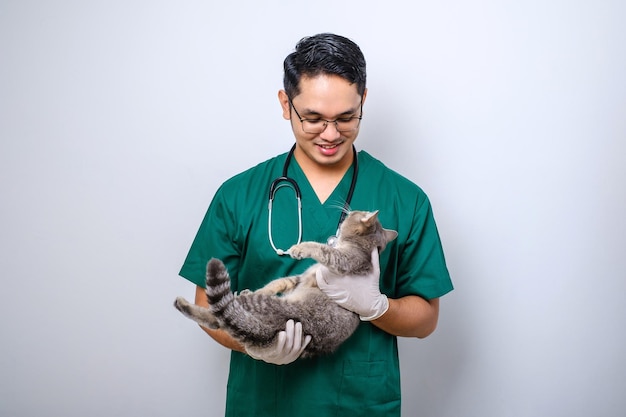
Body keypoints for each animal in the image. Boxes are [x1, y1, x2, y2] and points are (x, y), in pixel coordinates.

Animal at [172, 210, 394, 356]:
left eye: (355, 213)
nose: (349, 209)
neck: (360, 246)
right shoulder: (301, 277)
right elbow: (277, 283)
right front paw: (260, 288)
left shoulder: (343, 260)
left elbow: (320, 248)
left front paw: (301, 247)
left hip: (266, 306)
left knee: (217, 317)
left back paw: (187, 304)